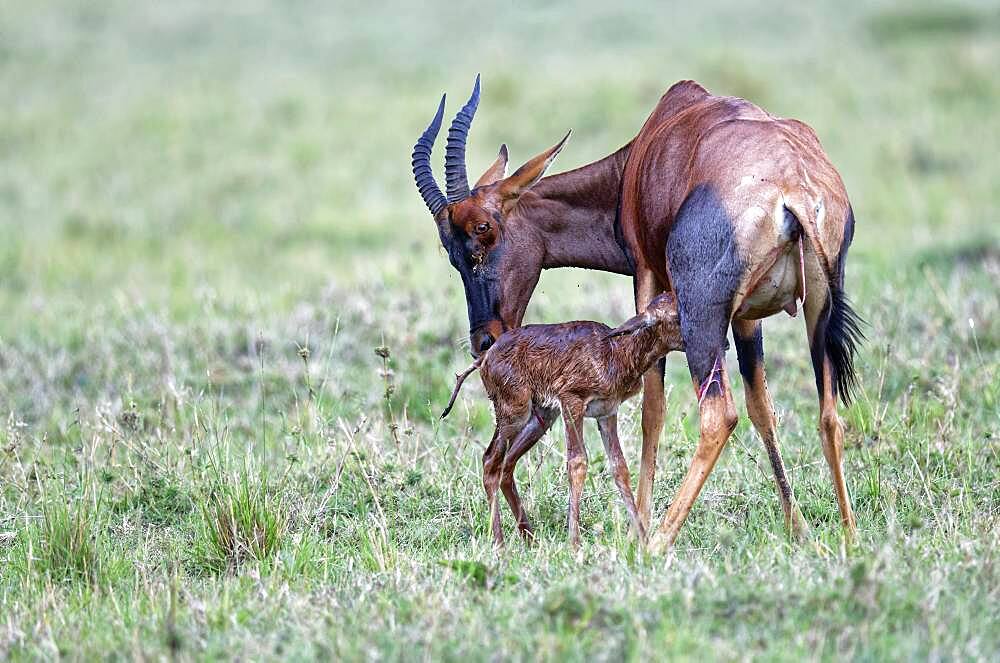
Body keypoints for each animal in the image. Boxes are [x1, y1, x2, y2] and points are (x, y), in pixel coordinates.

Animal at [442, 294, 684, 548]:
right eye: (677, 316)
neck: (615, 351)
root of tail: (485, 358)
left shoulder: (607, 413)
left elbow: (620, 468)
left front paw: (644, 541)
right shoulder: (572, 402)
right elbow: (577, 463)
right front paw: (575, 543)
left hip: (542, 416)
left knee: (507, 464)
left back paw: (529, 539)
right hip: (514, 413)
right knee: (490, 461)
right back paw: (500, 544)